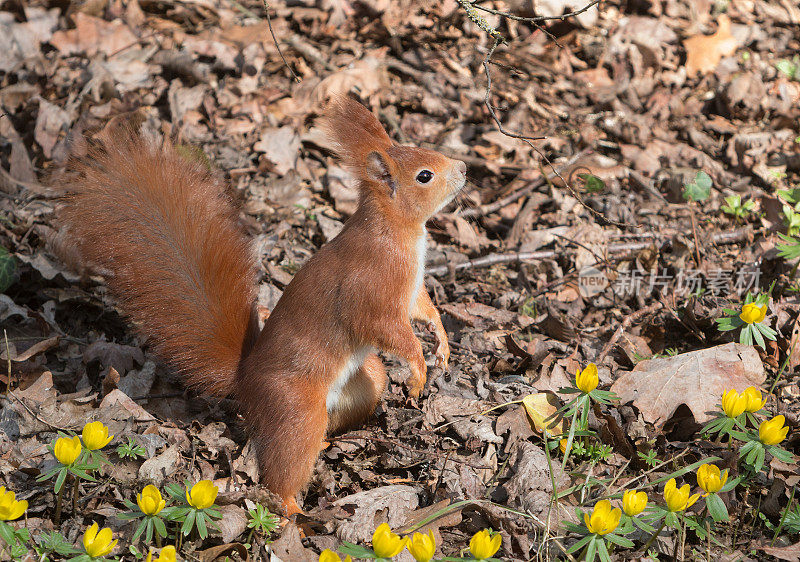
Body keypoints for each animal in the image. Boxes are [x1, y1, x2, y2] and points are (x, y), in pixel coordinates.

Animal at [59, 98, 468, 516]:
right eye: (424, 176)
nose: (464, 168)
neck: (396, 230)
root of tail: (245, 382)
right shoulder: (371, 287)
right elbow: (384, 327)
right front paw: (419, 367)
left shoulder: (410, 291)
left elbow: (423, 309)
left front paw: (441, 340)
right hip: (296, 409)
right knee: (283, 466)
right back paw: (294, 511)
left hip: (365, 380)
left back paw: (328, 444)